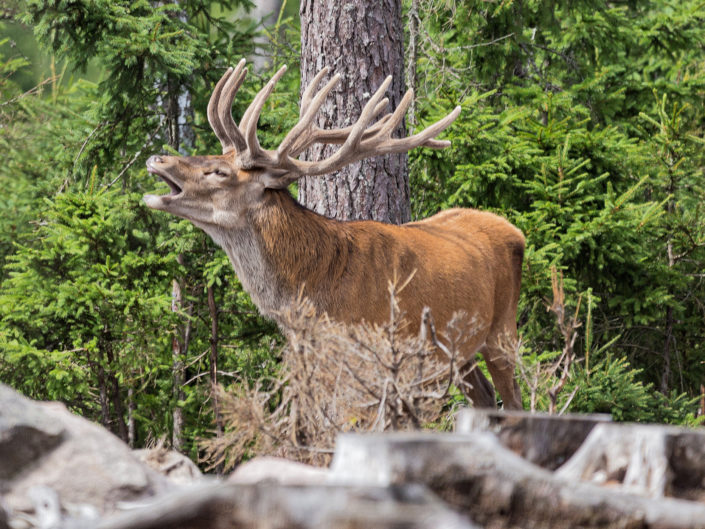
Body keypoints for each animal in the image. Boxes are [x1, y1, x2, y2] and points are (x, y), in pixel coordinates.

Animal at [144, 59, 525, 409]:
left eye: (219, 171)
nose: (156, 158)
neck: (316, 293)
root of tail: (516, 232)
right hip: (458, 351)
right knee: (484, 396)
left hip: (503, 329)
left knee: (513, 398)